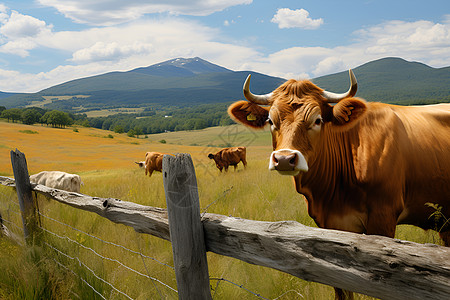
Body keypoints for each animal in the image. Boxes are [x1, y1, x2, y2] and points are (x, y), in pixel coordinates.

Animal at [229, 71, 450, 298]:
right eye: (271, 121)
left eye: (317, 120)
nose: (284, 159)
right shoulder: (330, 224)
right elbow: (341, 288)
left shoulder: (384, 218)